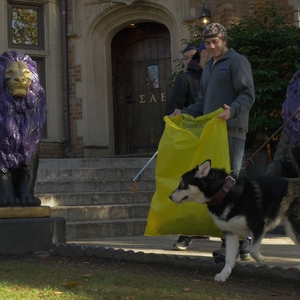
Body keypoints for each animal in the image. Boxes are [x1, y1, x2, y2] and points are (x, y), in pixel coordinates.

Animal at [169, 161, 300, 282]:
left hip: (294, 230)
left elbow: (252, 249)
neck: (224, 191)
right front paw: (224, 274)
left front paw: (260, 259)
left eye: (182, 184)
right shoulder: (230, 233)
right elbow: (229, 257)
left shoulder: (258, 226)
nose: (169, 196)